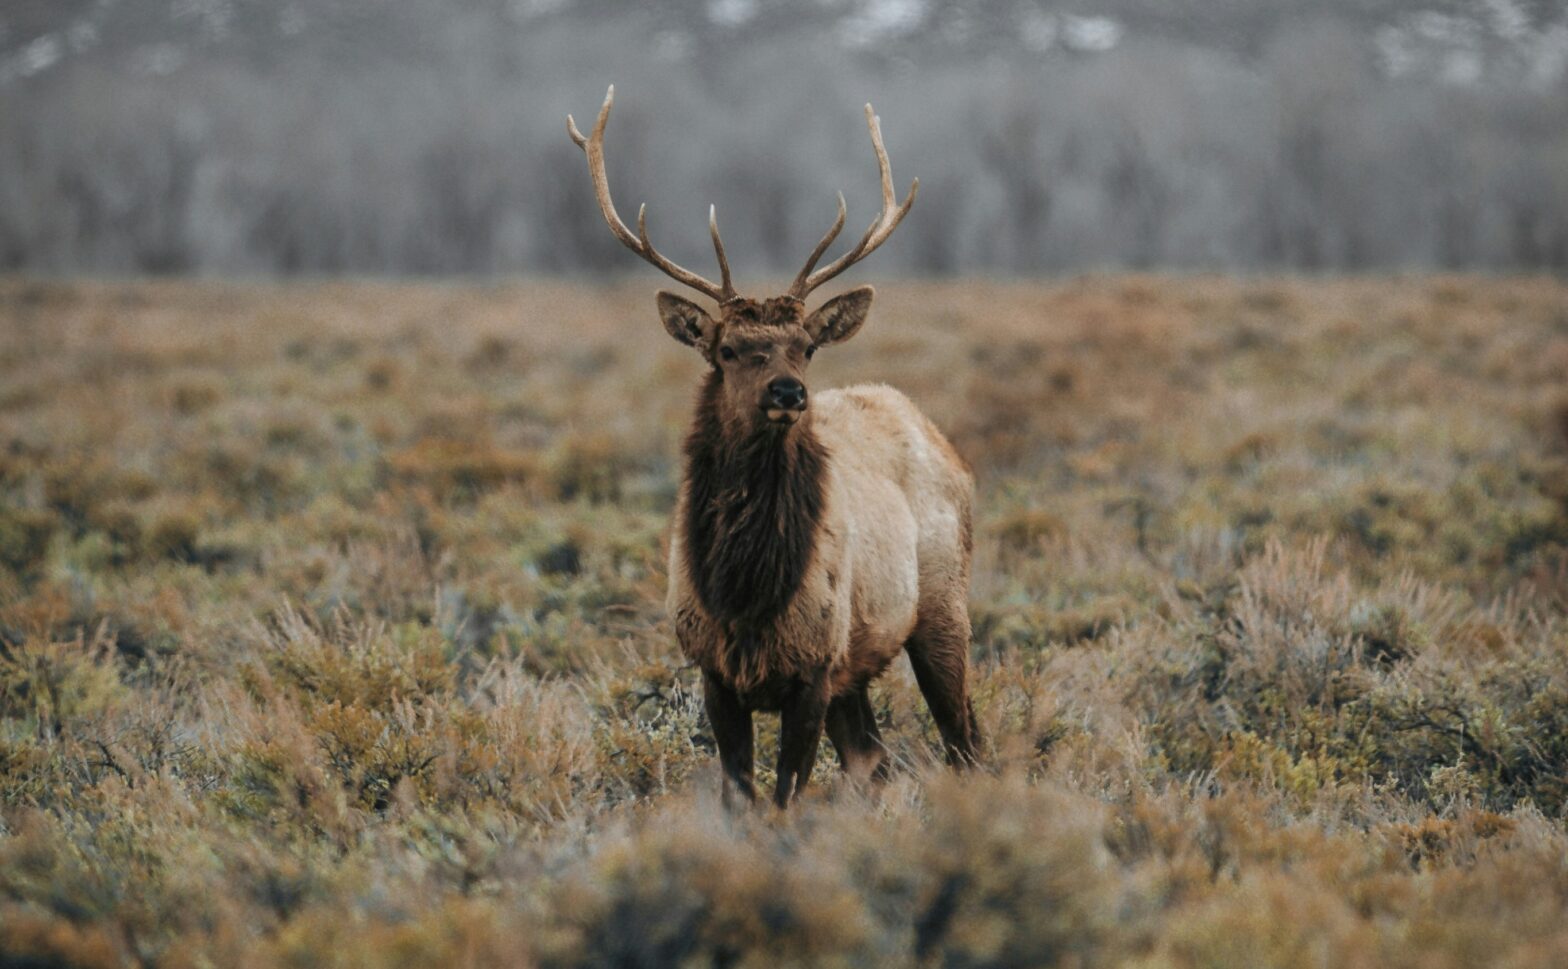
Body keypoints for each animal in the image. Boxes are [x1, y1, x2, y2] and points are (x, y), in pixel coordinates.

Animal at [564, 86, 978, 802]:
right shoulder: (714, 670)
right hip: (860, 664)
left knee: (966, 742)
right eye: (728, 348)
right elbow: (743, 797)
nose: (789, 392)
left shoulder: (813, 666)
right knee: (874, 760)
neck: (747, 594)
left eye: (806, 346)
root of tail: (940, 440)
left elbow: (784, 797)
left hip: (944, 605)